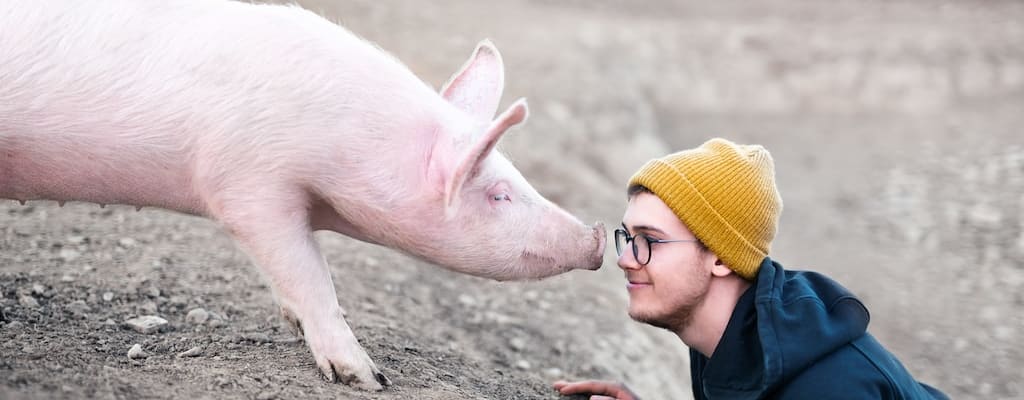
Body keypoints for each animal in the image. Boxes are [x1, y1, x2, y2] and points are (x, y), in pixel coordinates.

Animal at [0, 0, 602, 390]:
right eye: (499, 194)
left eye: (516, 175)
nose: (597, 238)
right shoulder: (247, 182)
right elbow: (309, 273)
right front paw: (369, 378)